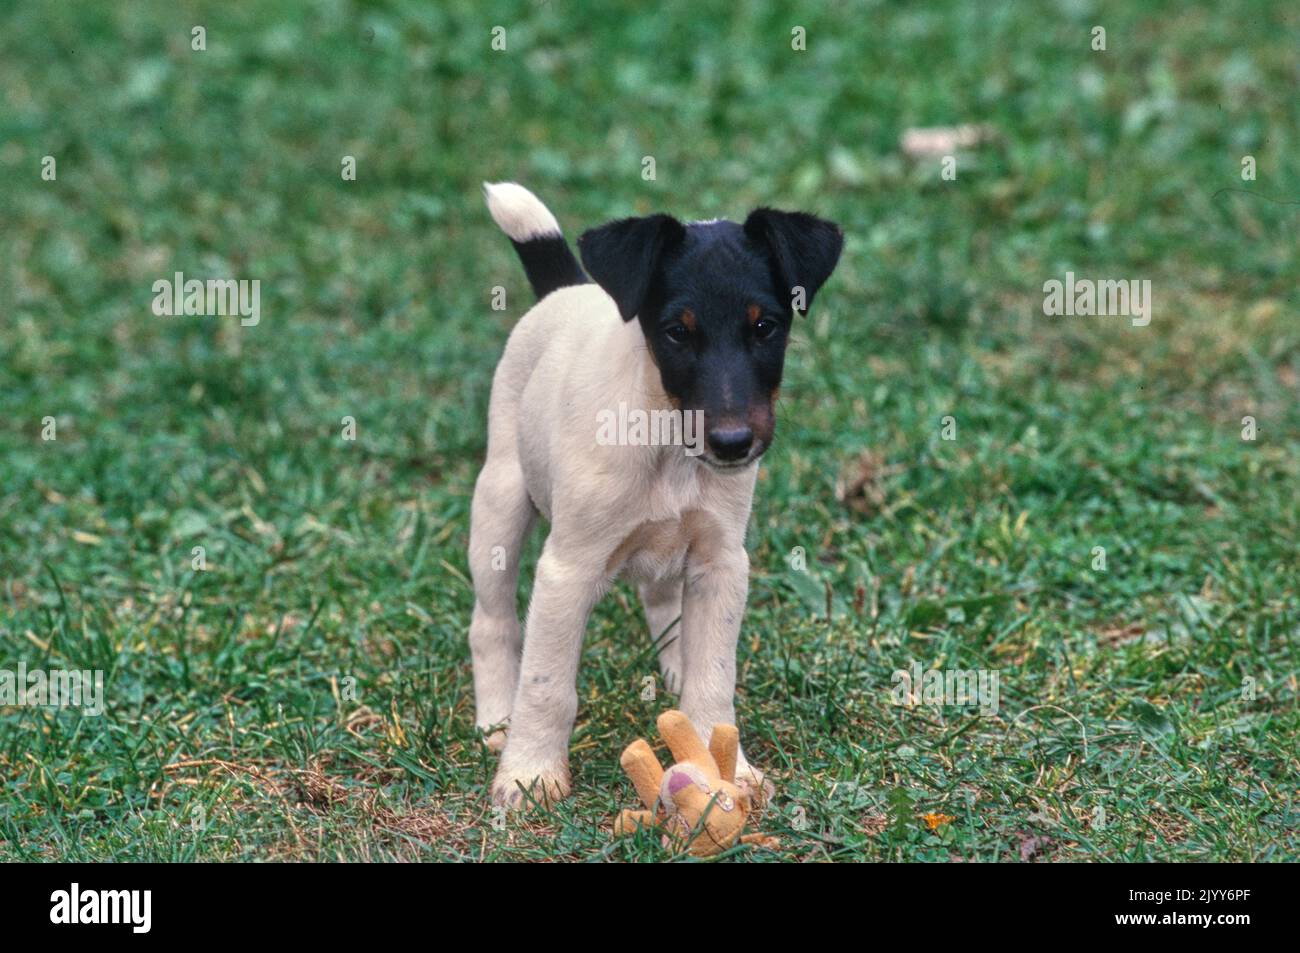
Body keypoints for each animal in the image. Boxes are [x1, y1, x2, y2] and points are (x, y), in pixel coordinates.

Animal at [467, 182, 842, 806]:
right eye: (677, 332)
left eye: (765, 327)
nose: (732, 444)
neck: (668, 447)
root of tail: (568, 289)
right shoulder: (567, 570)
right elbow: (547, 684)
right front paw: (530, 773)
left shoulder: (720, 562)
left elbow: (714, 679)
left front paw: (728, 768)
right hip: (499, 504)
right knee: (492, 623)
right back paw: (496, 720)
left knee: (662, 602)